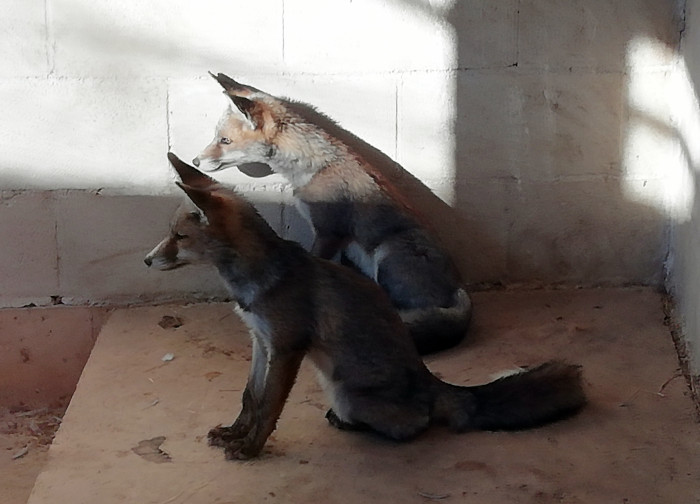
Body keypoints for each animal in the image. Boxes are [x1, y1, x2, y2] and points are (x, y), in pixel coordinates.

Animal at [146, 153, 584, 460]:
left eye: (179, 237)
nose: (147, 261)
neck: (258, 281)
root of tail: (432, 382)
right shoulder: (260, 339)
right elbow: (249, 397)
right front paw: (235, 432)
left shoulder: (287, 347)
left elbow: (269, 406)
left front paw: (251, 448)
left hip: (348, 392)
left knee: (416, 425)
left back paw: (361, 425)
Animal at [193, 73, 470, 354]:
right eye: (217, 137)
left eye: (225, 141)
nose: (195, 161)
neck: (312, 166)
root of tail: (459, 291)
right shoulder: (342, 243)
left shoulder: (329, 232)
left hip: (387, 252)